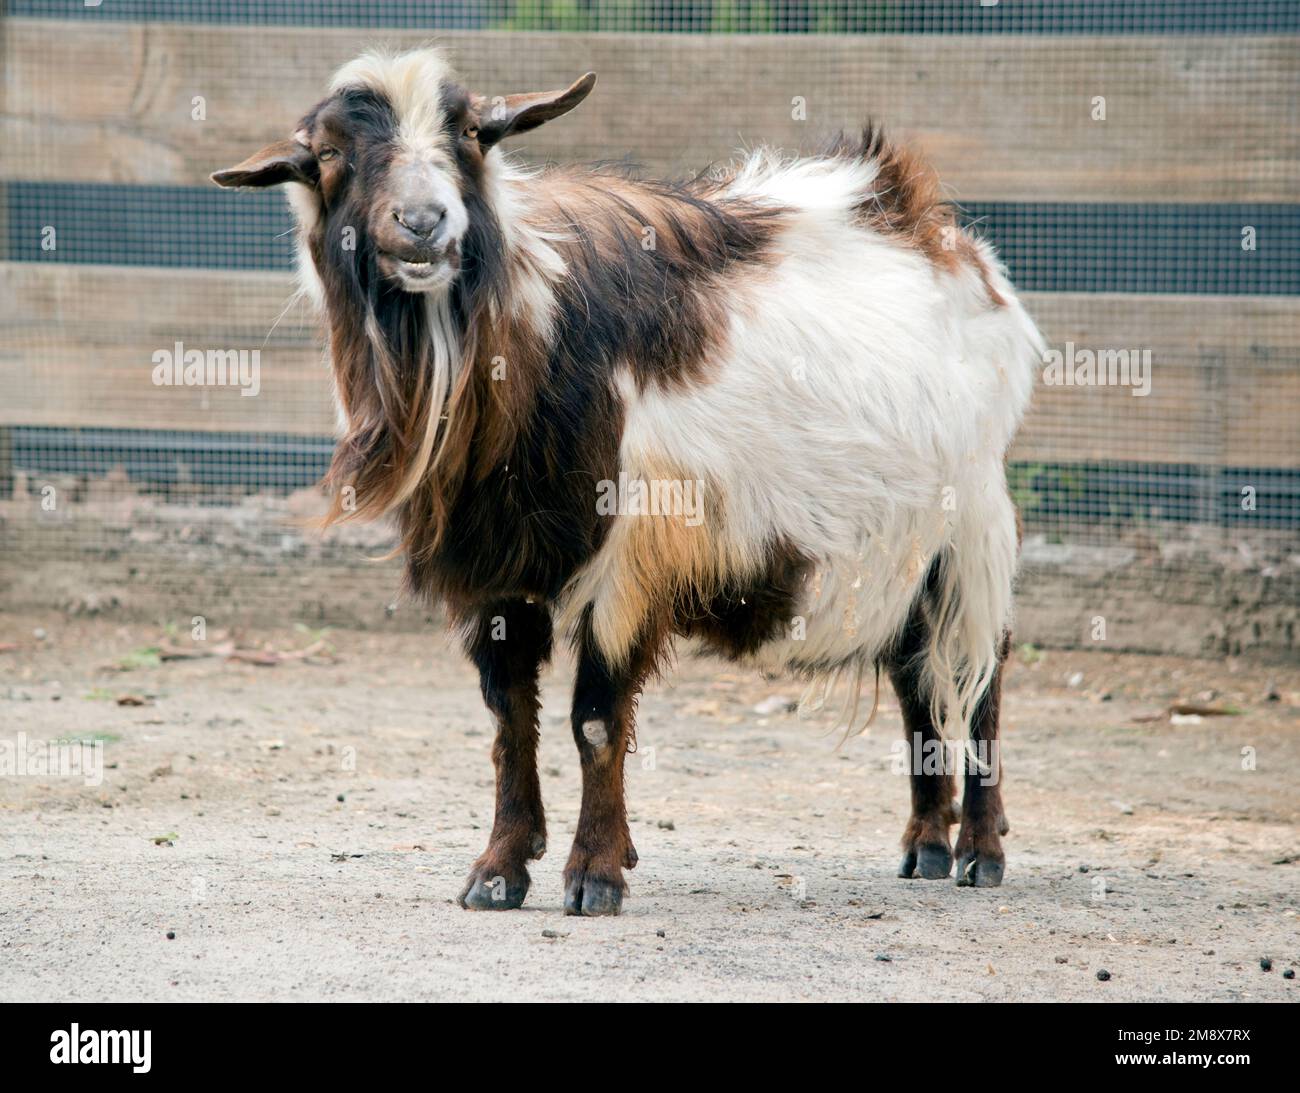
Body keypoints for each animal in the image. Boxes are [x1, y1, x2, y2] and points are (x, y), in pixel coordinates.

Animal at [213, 49, 1045, 914]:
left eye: (470, 134)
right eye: (329, 153)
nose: (422, 223)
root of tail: (946, 238)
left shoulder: (629, 555)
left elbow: (595, 719)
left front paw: (595, 872)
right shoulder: (493, 567)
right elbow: (509, 718)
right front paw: (500, 867)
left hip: (973, 526)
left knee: (980, 677)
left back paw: (980, 851)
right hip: (901, 548)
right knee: (918, 673)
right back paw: (925, 844)